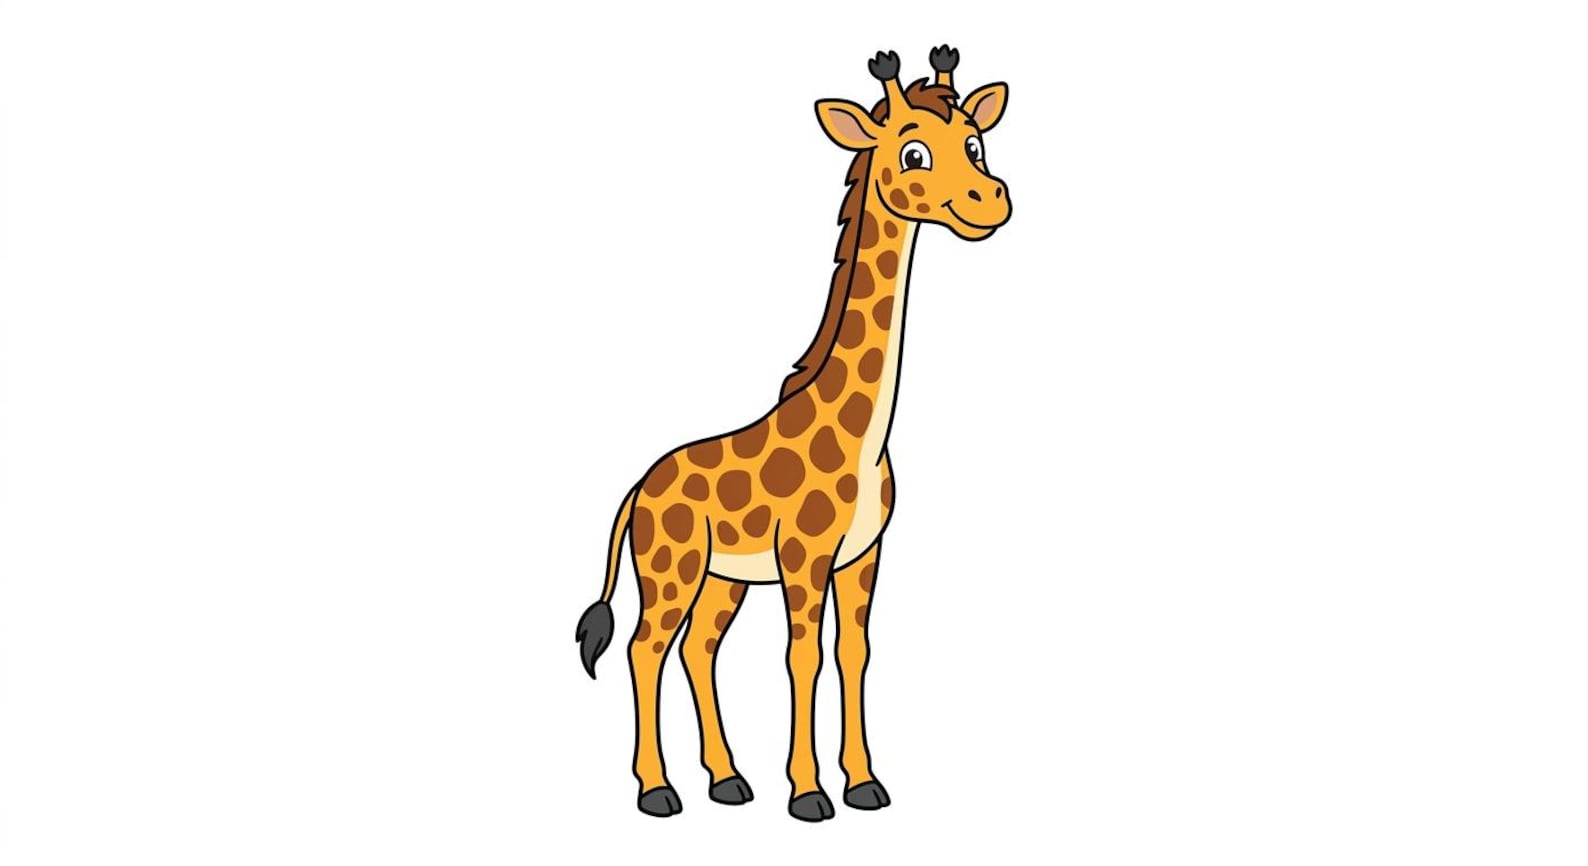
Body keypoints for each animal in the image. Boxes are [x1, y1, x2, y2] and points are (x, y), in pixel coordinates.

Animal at [574, 46, 1011, 822]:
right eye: (913, 152)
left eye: (975, 143)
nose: (991, 199)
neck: (865, 435)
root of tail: (637, 490)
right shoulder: (804, 556)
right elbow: (800, 656)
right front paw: (809, 794)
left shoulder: (862, 555)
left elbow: (852, 653)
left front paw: (864, 783)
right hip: (671, 567)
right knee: (644, 648)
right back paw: (658, 790)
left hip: (721, 578)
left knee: (698, 649)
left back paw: (727, 781)